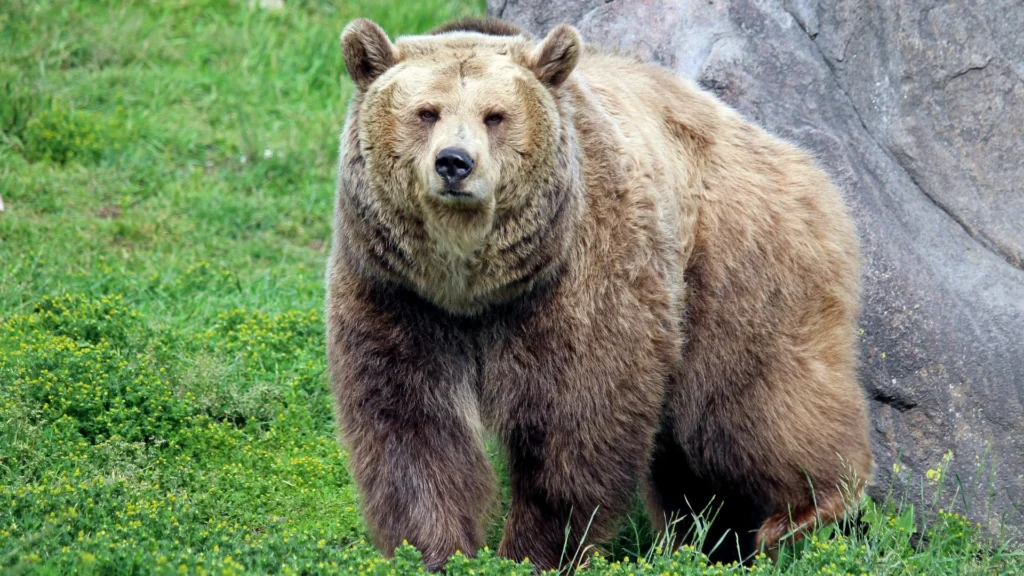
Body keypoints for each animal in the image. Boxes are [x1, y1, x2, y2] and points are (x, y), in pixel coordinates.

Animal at [326, 15, 874, 572]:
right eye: (426, 112)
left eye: (495, 116)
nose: (454, 163)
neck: (472, 287)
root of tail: (801, 161)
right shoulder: (397, 294)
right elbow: (411, 427)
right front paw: (434, 551)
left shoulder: (579, 277)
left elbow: (577, 420)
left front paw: (538, 551)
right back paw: (714, 539)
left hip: (736, 264)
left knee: (748, 406)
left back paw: (806, 510)